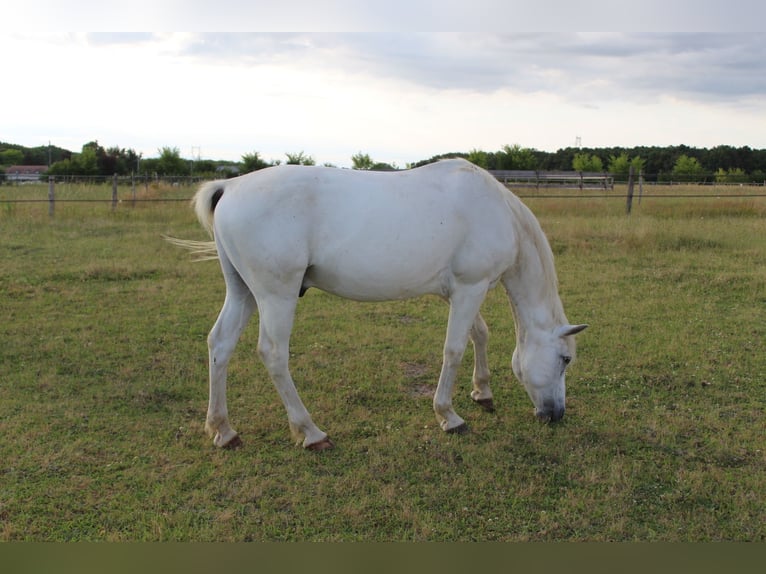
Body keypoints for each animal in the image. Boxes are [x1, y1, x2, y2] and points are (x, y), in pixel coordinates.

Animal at [171, 160, 588, 452]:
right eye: (565, 359)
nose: (556, 415)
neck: (495, 209)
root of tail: (230, 186)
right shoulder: (471, 288)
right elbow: (453, 349)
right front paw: (448, 416)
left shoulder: (460, 291)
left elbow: (479, 335)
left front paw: (482, 393)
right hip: (276, 296)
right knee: (273, 354)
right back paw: (311, 432)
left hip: (242, 292)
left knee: (220, 344)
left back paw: (223, 430)